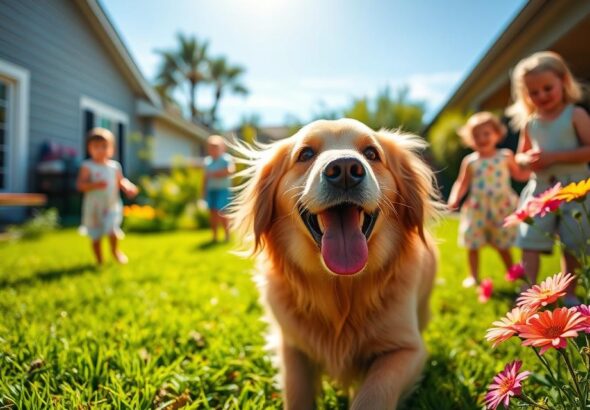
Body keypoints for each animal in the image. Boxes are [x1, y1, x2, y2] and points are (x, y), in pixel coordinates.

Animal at [231, 117, 440, 408]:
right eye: (305, 154)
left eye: (371, 153)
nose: (344, 169)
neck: (341, 289)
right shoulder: (291, 346)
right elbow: (297, 393)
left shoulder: (407, 349)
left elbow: (374, 393)